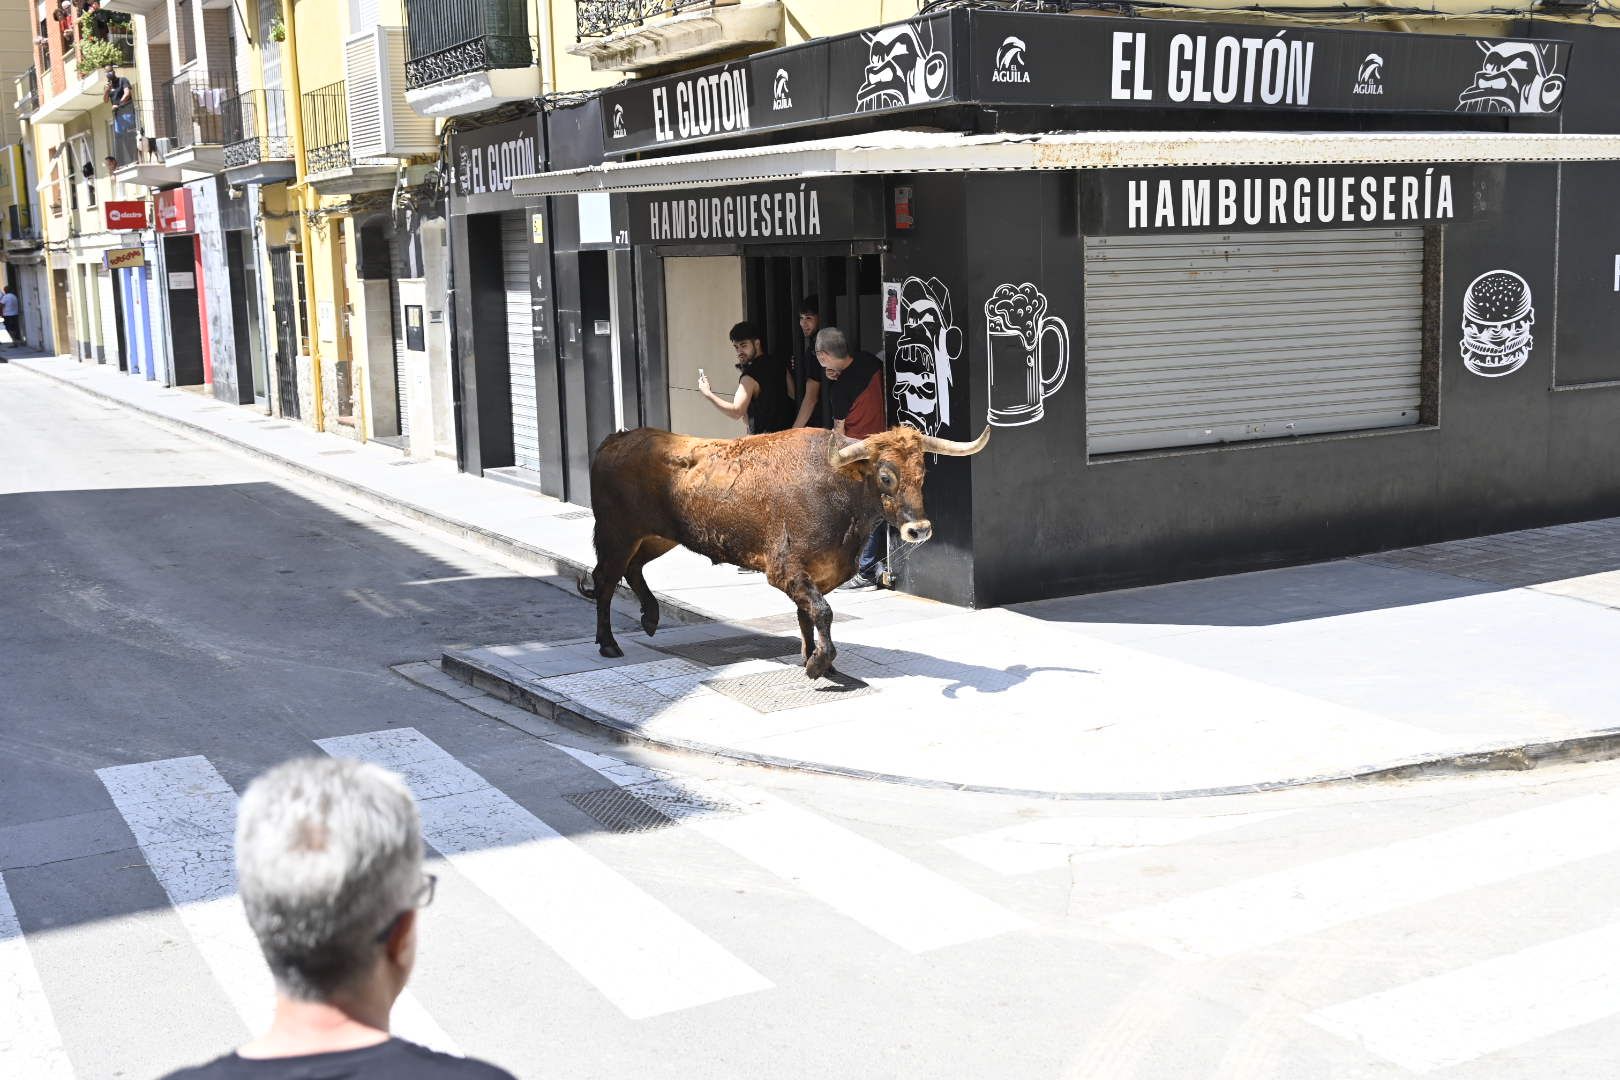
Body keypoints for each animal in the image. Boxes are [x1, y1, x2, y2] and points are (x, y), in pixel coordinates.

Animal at [579, 420, 984, 676]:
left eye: (922, 474)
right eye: (886, 476)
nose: (919, 529)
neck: (835, 485)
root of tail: (616, 439)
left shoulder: (819, 573)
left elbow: (808, 615)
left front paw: (815, 658)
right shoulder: (785, 570)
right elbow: (822, 612)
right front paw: (818, 664)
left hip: (658, 536)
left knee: (632, 569)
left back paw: (649, 617)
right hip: (618, 533)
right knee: (605, 580)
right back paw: (608, 643)